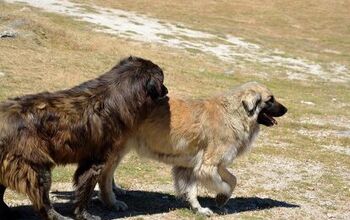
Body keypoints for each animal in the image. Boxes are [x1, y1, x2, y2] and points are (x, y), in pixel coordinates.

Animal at [0, 55, 168, 219]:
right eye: (162, 80)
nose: (167, 90)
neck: (113, 95)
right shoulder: (95, 162)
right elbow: (86, 190)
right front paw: (84, 214)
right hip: (37, 169)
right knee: (42, 202)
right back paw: (58, 216)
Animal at [97, 81, 286, 215]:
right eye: (270, 100)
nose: (286, 109)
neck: (234, 114)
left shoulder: (203, 164)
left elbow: (231, 180)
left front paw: (204, 207)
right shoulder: (207, 167)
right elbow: (222, 185)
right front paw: (218, 199)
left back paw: (117, 190)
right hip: (118, 149)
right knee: (104, 176)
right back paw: (112, 202)